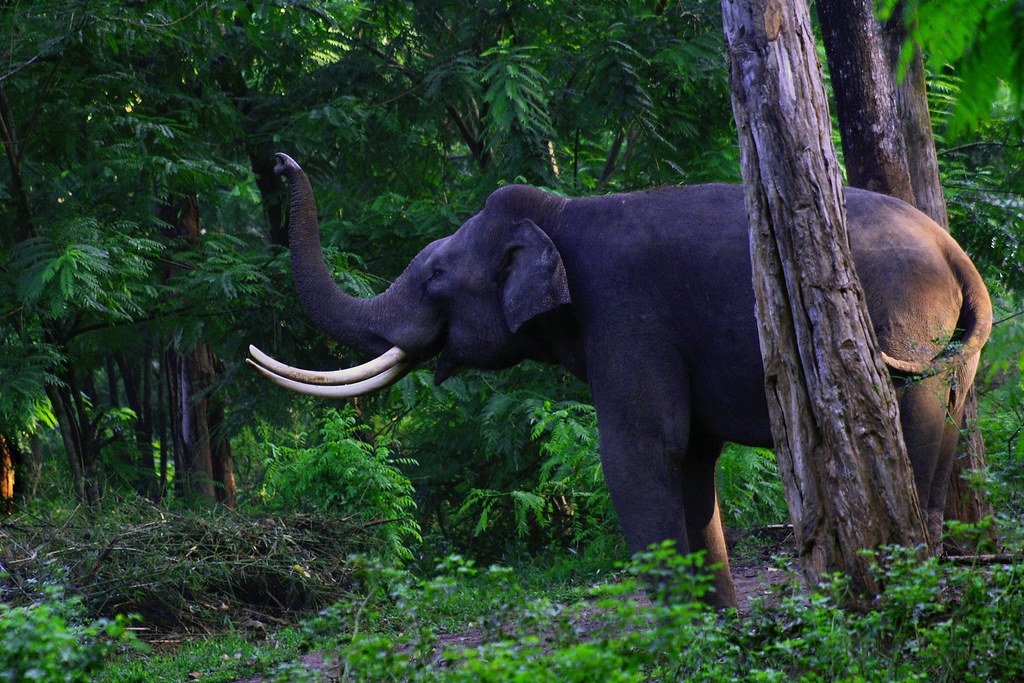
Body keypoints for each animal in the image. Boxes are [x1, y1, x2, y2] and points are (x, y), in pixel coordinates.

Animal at [249, 153, 992, 607]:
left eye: (434, 275)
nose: (281, 163)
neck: (560, 214)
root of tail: (954, 251)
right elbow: (689, 460)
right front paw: (716, 626)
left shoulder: (628, 317)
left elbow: (639, 453)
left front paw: (678, 640)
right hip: (947, 347)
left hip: (903, 316)